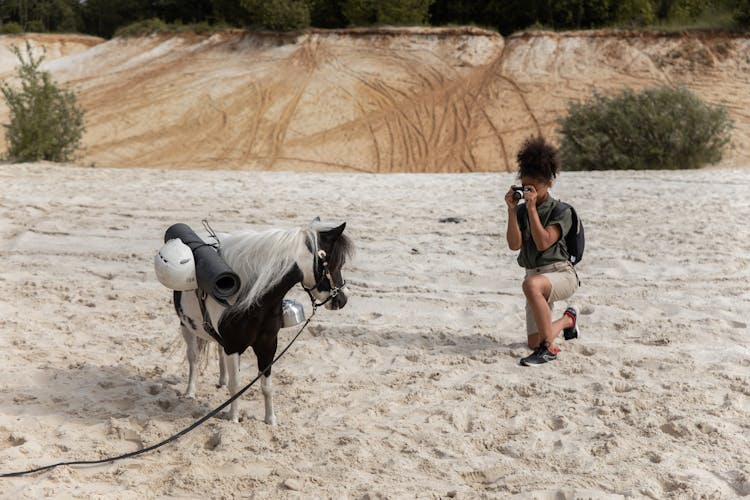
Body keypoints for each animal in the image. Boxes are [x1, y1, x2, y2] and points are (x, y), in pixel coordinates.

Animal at [175, 219, 354, 422]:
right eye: (337, 263)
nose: (343, 299)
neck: (252, 298)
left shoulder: (267, 345)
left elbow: (266, 386)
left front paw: (271, 420)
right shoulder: (233, 347)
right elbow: (235, 385)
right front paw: (233, 418)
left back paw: (221, 380)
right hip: (186, 326)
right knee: (193, 358)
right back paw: (190, 392)